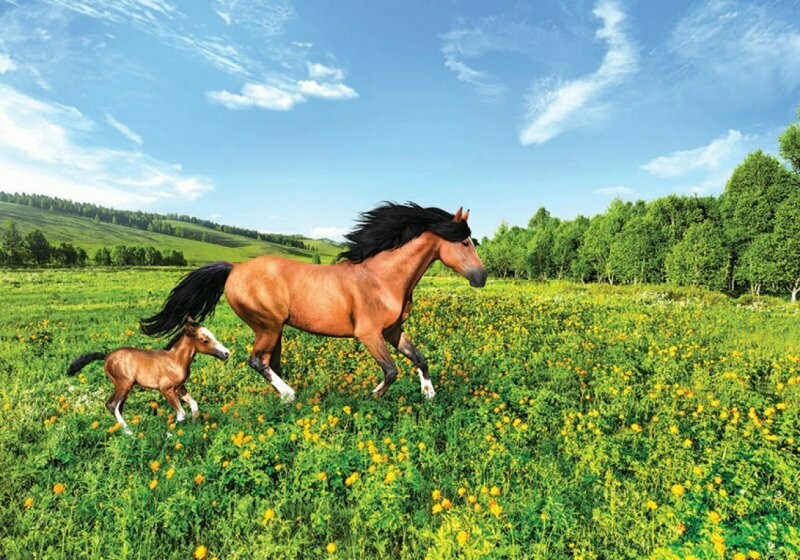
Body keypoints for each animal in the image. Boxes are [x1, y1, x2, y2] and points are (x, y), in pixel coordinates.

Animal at [66, 320, 230, 434]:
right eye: (205, 340)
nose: (226, 353)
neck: (175, 360)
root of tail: (106, 357)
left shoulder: (180, 388)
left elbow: (194, 406)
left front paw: (195, 428)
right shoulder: (166, 390)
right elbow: (181, 414)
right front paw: (170, 433)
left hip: (125, 387)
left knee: (118, 407)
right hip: (123, 384)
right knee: (112, 405)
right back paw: (129, 432)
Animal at [140, 201, 484, 402]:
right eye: (464, 242)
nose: (481, 277)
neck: (383, 278)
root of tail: (234, 269)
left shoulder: (392, 331)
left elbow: (420, 358)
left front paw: (429, 394)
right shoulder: (369, 334)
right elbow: (391, 371)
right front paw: (372, 395)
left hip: (275, 330)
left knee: (269, 363)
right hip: (267, 326)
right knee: (257, 361)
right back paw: (290, 394)